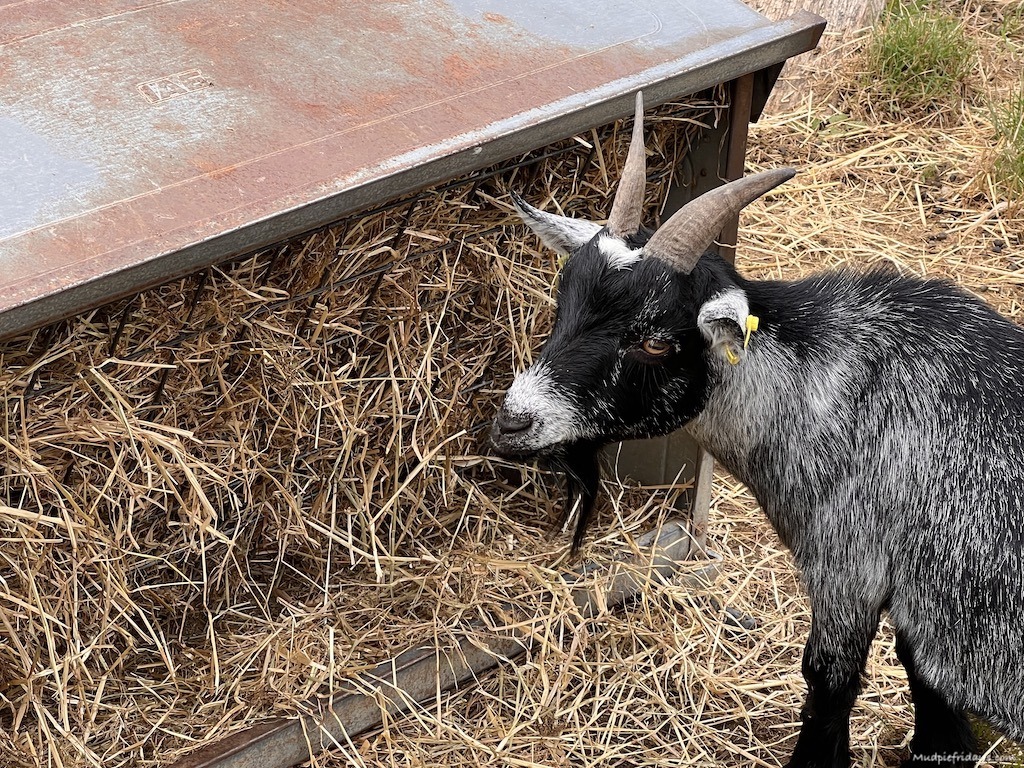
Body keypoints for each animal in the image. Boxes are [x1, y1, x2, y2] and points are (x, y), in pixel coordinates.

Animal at [490, 93, 1024, 767]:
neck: (834, 382)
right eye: (566, 302)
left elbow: (828, 683)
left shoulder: (848, 565)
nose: (514, 420)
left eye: (655, 341)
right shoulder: (922, 615)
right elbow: (931, 698)